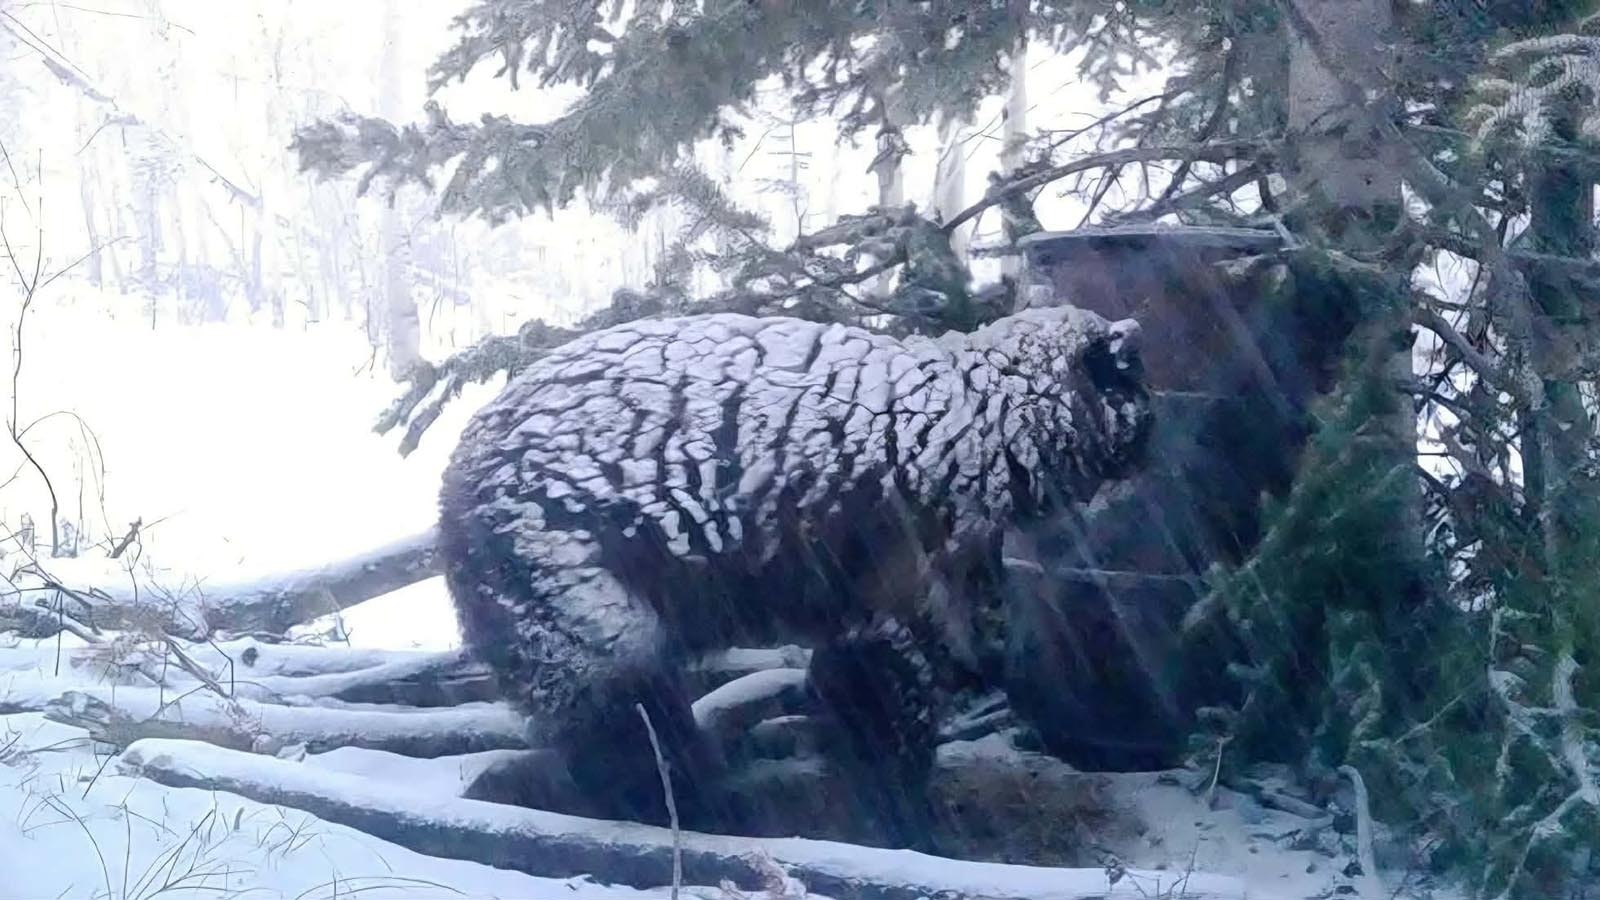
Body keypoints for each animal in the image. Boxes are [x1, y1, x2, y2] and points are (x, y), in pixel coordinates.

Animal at [438, 305, 1150, 845]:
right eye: (1142, 399)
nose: (1150, 450)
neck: (979, 420)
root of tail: (451, 494)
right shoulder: (892, 563)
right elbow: (891, 698)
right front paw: (901, 807)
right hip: (575, 592)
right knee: (625, 717)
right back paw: (687, 801)